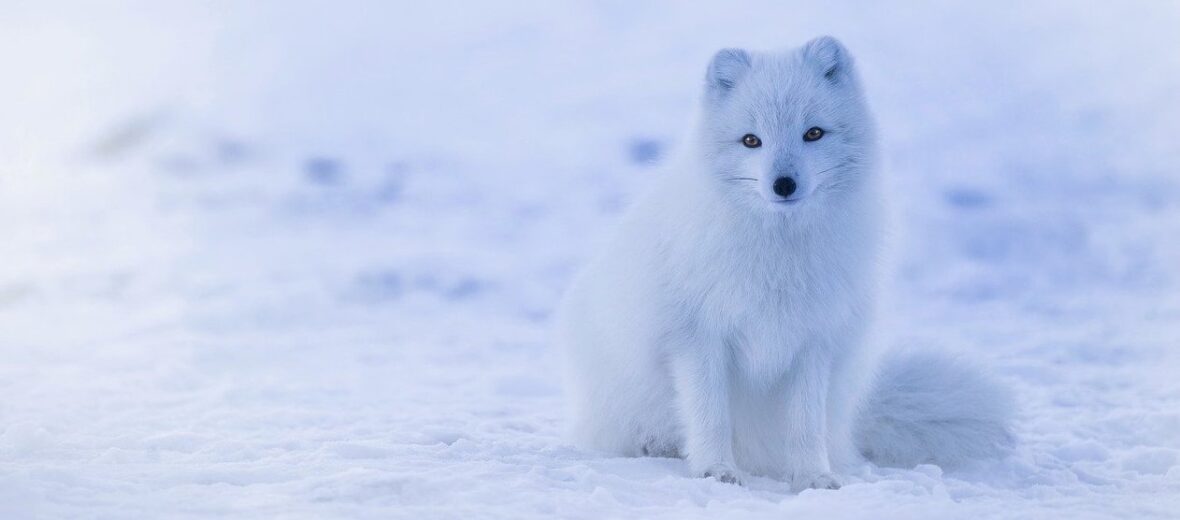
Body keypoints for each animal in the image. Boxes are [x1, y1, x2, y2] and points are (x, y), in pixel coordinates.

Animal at [554, 37, 1014, 490]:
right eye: (750, 140)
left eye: (813, 133)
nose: (784, 184)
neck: (779, 253)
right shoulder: (696, 338)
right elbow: (709, 414)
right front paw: (715, 471)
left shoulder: (813, 341)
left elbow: (805, 424)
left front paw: (813, 477)